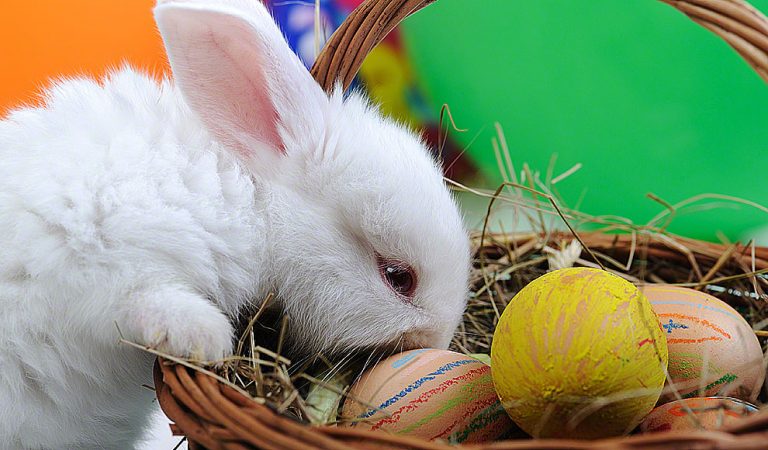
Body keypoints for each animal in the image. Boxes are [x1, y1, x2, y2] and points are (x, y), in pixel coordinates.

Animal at [0, 0, 468, 448]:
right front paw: (205, 337)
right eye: (398, 276)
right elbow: (132, 299)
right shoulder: (84, 246)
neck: (251, 199)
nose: (439, 343)